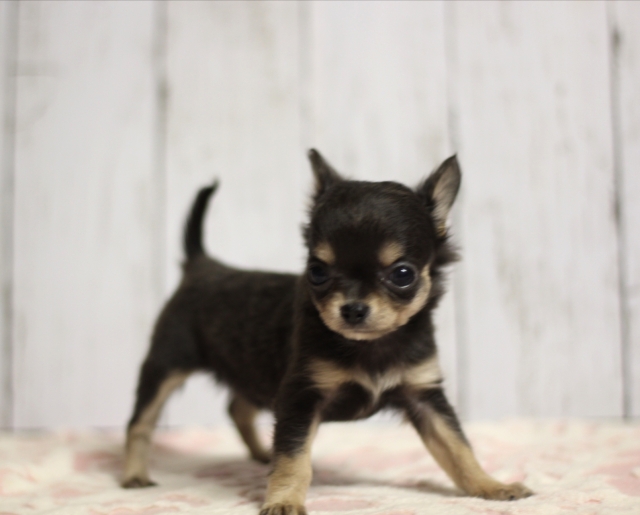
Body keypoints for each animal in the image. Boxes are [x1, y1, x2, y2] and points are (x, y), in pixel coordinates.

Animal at [122, 149, 533, 514]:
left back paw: (259, 454)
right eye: (317, 272)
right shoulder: (301, 397)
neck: (371, 346)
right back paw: (133, 474)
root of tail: (202, 263)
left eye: (403, 274)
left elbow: (457, 447)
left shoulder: (424, 396)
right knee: (140, 422)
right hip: (166, 364)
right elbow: (293, 457)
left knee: (237, 407)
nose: (352, 308)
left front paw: (490, 486)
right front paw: (283, 500)